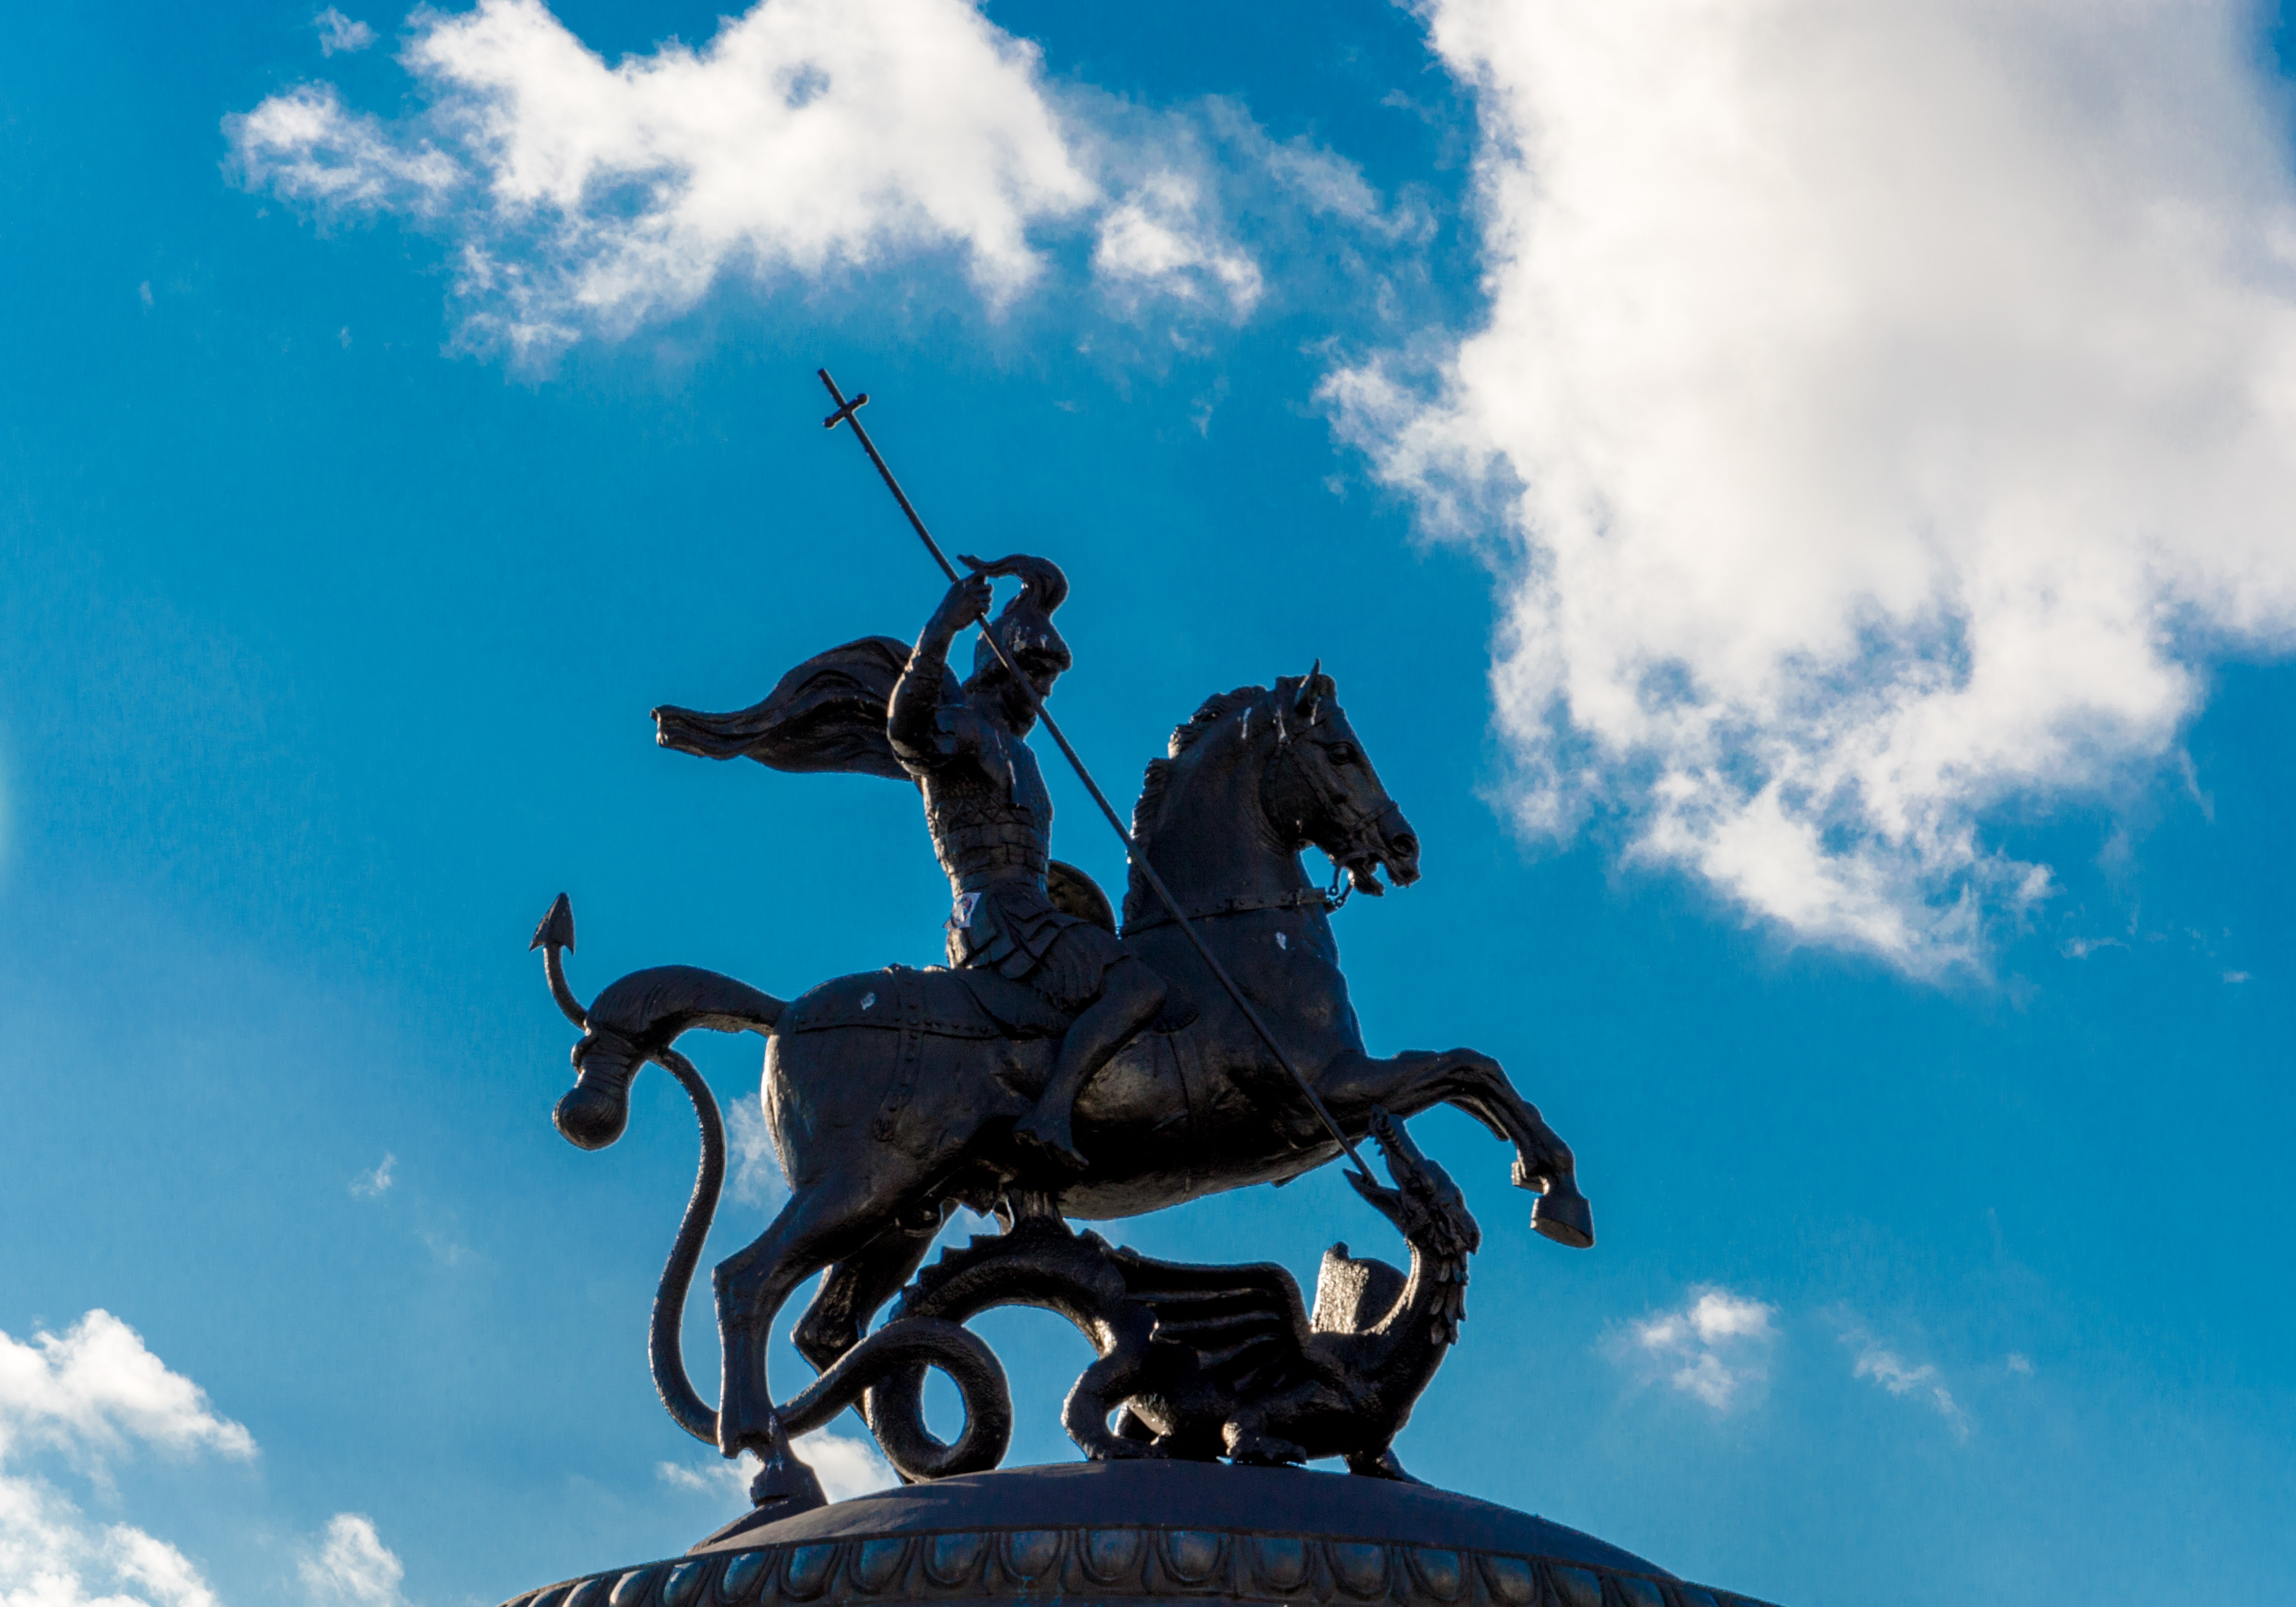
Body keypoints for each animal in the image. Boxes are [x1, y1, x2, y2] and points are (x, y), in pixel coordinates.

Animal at [539, 666, 1589, 1506]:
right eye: (1339, 750)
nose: (1402, 848)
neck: (1230, 936)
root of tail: (786, 1009)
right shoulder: (1318, 1098)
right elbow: (1466, 1069)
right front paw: (1555, 1191)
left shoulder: (1330, 1103)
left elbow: (1467, 1076)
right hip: (855, 1187)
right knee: (743, 1282)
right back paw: (774, 1461)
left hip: (903, 1210)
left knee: (826, 1327)